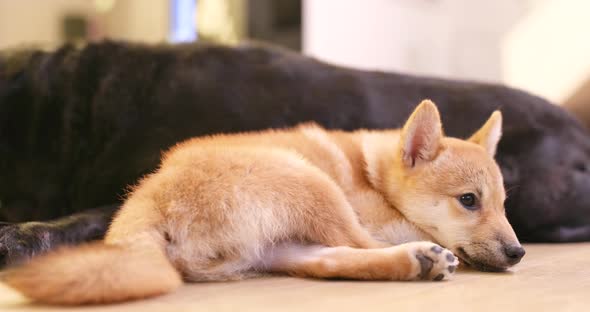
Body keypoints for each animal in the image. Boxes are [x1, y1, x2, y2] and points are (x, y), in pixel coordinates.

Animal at [2, 100, 524, 304]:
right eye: (468, 201)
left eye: (503, 205)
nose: (519, 252)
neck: (373, 177)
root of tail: (147, 201)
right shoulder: (374, 213)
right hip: (312, 183)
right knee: (354, 245)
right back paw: (423, 256)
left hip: (281, 244)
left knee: (331, 262)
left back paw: (416, 261)